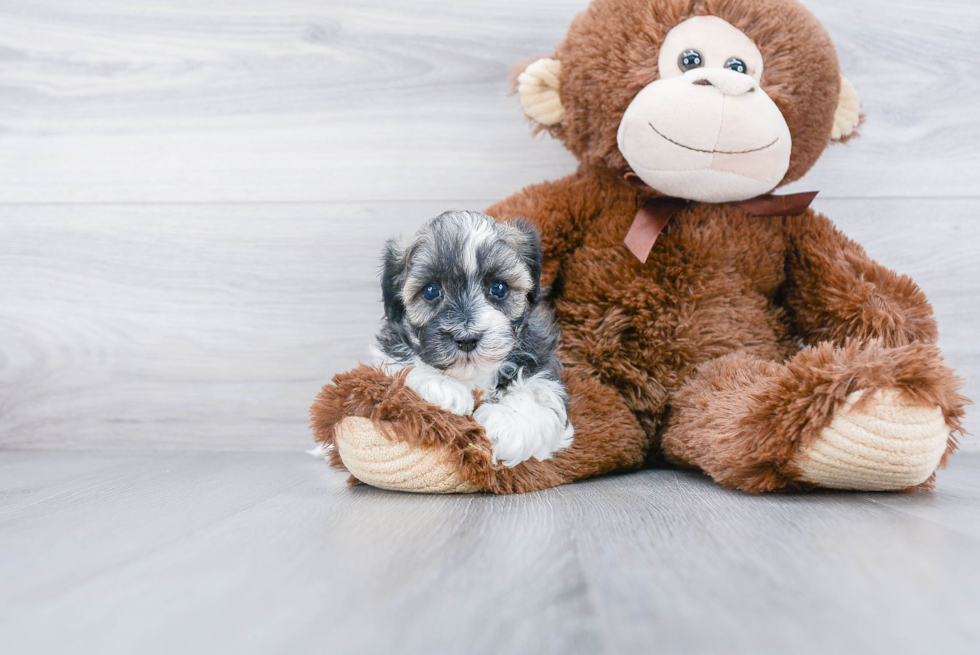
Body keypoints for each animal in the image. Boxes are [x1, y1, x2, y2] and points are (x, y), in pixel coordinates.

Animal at [374, 210, 576, 466]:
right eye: (430, 291)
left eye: (499, 288)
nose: (466, 338)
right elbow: (403, 364)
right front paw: (443, 387)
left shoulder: (542, 356)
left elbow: (539, 392)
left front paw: (506, 424)